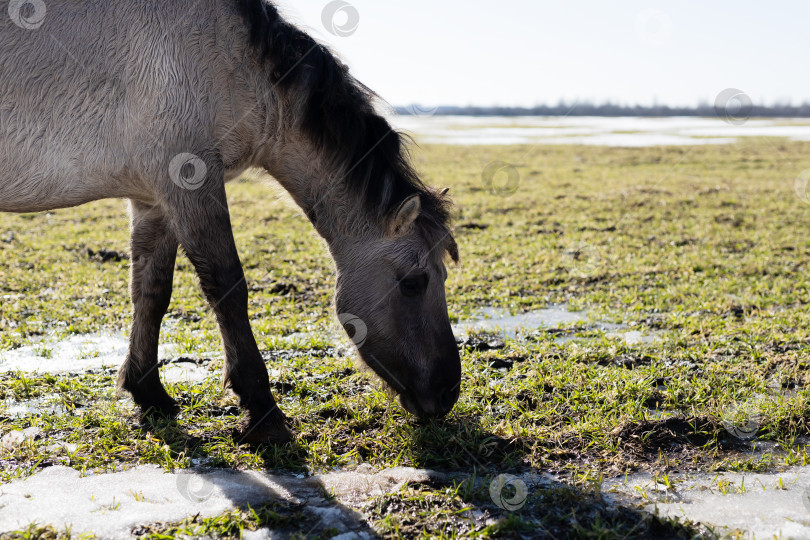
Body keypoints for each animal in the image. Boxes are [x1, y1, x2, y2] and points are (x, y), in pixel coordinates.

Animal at [0, 0, 461, 443]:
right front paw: (262, 413)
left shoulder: (152, 200)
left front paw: (149, 393)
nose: (446, 393)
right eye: (413, 282)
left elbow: (151, 293)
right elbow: (228, 289)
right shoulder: (190, 184)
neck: (225, 57)